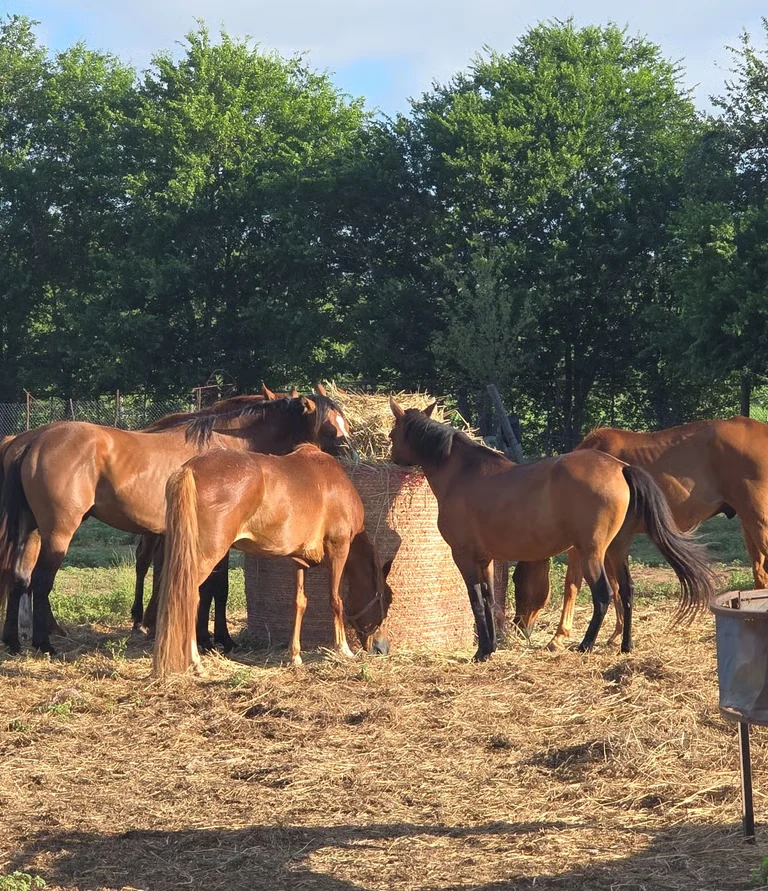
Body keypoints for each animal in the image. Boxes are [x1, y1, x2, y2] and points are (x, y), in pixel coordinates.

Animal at [0, 393, 354, 655]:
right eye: (329, 426)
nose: (352, 454)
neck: (228, 447)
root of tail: (33, 440)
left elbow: (207, 588)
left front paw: (206, 637)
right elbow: (214, 588)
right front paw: (215, 639)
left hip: (31, 530)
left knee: (18, 578)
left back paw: (14, 642)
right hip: (58, 532)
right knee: (40, 582)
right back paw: (44, 643)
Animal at [152, 444, 393, 677]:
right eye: (386, 599)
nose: (382, 647)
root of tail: (190, 468)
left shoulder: (300, 561)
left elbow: (299, 603)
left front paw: (295, 656)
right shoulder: (339, 549)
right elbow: (336, 601)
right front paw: (343, 649)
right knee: (190, 598)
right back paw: (196, 663)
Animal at [387, 399, 717, 659]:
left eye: (392, 434)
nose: (392, 460)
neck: (464, 474)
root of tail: (620, 467)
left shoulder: (464, 557)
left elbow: (477, 601)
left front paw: (481, 652)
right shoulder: (487, 559)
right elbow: (491, 601)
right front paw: (490, 647)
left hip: (592, 553)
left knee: (603, 595)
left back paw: (585, 645)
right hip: (616, 551)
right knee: (626, 592)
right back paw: (625, 645)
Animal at [514, 416, 768, 649]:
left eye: (517, 579)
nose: (518, 627)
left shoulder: (586, 547)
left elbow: (575, 586)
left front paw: (559, 636)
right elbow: (617, 588)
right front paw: (617, 634)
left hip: (757, 520)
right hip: (748, 523)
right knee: (760, 576)